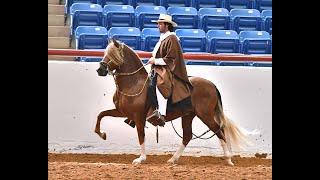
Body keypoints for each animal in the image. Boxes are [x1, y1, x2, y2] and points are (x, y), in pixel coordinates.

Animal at [94, 39, 248, 166]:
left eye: (112, 54)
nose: (100, 69)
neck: (133, 83)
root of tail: (212, 85)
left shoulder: (138, 117)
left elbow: (141, 136)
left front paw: (141, 159)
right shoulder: (122, 112)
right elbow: (101, 114)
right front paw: (102, 134)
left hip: (205, 115)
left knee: (219, 130)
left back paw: (228, 158)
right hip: (188, 116)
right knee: (187, 136)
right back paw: (173, 159)